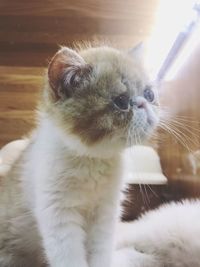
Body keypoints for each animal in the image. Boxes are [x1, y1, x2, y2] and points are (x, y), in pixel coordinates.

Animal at [0, 45, 159, 266]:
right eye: (121, 101)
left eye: (149, 93)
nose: (144, 103)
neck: (94, 161)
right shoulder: (59, 215)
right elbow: (70, 257)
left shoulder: (105, 214)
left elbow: (102, 252)